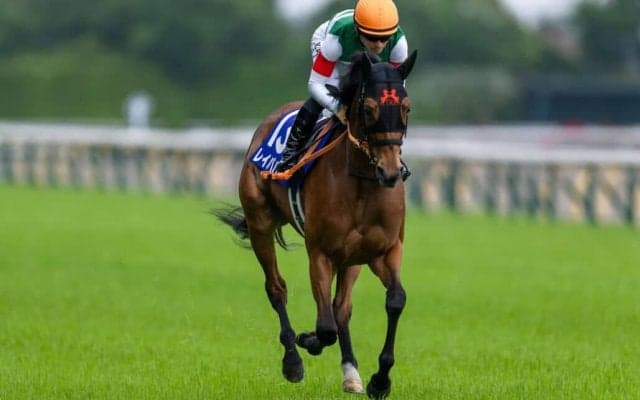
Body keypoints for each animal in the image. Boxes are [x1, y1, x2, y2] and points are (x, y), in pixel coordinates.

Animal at [215, 50, 417, 399]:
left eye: (406, 107)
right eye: (369, 108)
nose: (390, 172)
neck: (361, 182)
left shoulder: (384, 250)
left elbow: (394, 301)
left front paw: (380, 379)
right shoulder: (320, 252)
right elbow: (325, 328)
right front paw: (306, 341)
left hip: (352, 258)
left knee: (342, 307)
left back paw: (351, 373)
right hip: (260, 223)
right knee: (277, 288)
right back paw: (293, 360)